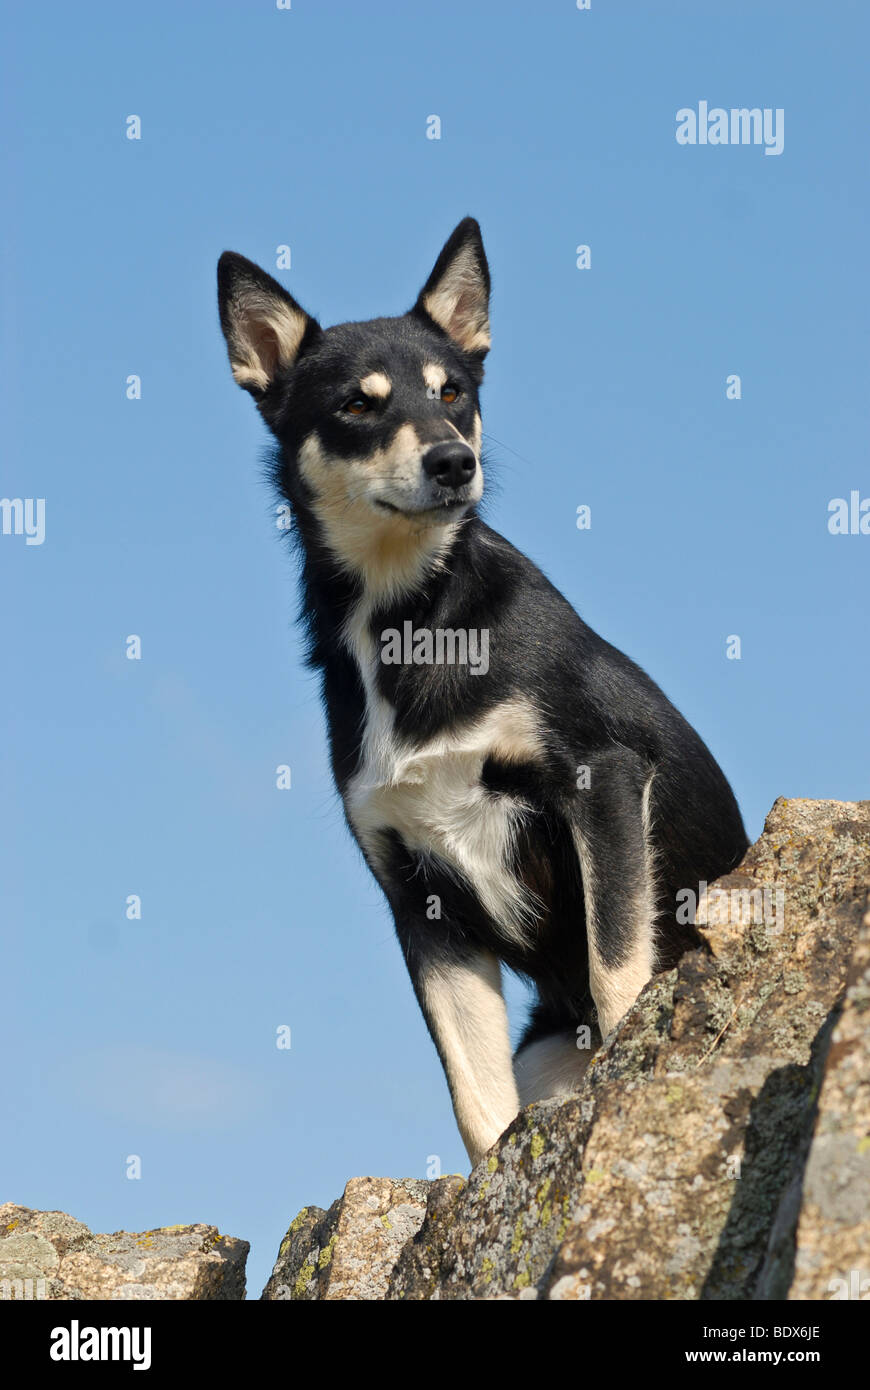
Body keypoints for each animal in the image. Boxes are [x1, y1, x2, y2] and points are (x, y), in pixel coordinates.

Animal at [215, 222, 744, 1167]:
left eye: (452, 392)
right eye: (358, 406)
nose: (455, 462)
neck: (411, 621)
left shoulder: (602, 782)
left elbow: (618, 973)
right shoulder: (421, 900)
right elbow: (476, 1100)